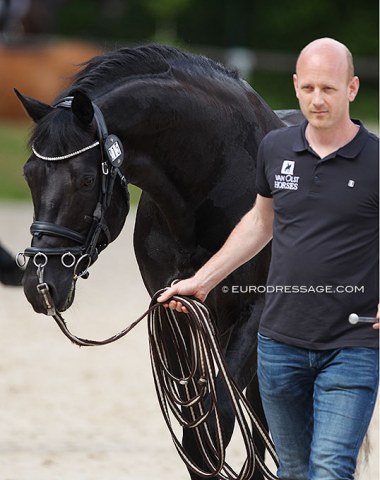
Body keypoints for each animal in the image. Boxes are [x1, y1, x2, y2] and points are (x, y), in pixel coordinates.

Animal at [16, 45, 296, 480]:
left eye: (84, 180)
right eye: (30, 174)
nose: (40, 284)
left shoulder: (255, 310)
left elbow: (217, 423)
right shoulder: (173, 316)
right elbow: (198, 432)